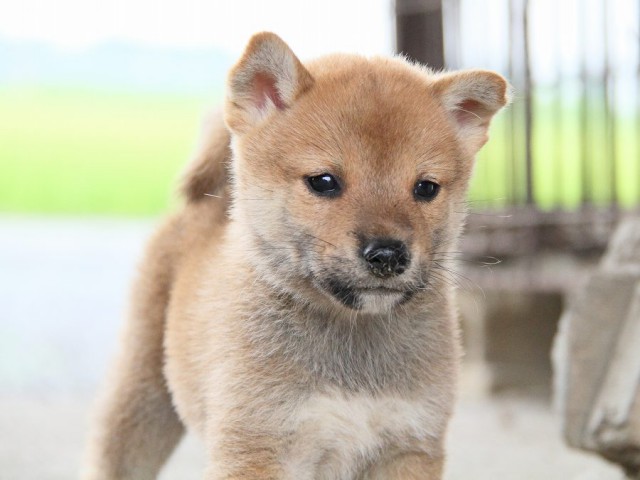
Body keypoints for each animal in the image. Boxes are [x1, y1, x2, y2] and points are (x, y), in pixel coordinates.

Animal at [82, 31, 510, 478]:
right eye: (323, 181)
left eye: (426, 188)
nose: (388, 255)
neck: (352, 346)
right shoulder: (256, 445)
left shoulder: (408, 446)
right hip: (141, 398)